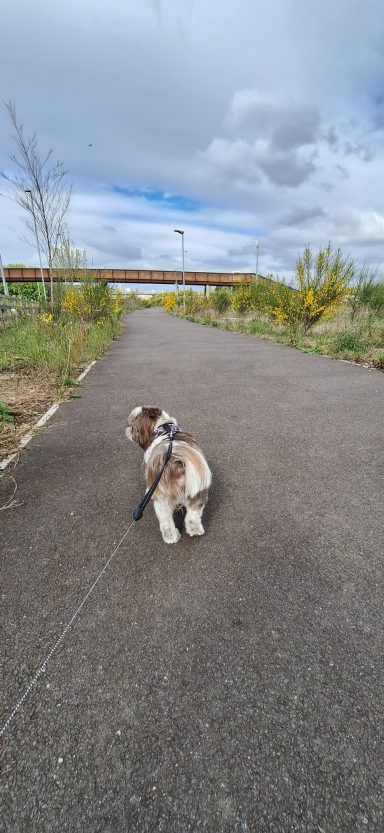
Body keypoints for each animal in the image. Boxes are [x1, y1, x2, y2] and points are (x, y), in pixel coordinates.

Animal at [126, 404, 212, 544]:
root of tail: (177, 463)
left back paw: (172, 538)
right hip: (196, 493)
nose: (128, 428)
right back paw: (194, 532)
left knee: (166, 522)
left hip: (161, 499)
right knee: (192, 517)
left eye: (132, 424)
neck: (164, 427)